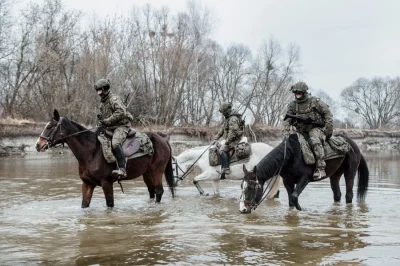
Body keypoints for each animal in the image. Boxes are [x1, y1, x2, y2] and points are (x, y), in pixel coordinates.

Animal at [35, 109, 175, 208]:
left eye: (49, 127)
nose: (38, 145)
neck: (91, 152)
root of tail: (163, 140)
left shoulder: (106, 183)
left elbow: (110, 204)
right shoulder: (87, 184)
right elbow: (84, 205)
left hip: (157, 171)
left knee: (159, 191)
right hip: (147, 173)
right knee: (152, 192)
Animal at [239, 134, 370, 213]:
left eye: (251, 187)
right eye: (242, 186)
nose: (243, 209)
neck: (290, 155)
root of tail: (353, 144)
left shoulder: (305, 178)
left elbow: (294, 197)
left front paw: (301, 210)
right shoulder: (288, 182)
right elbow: (290, 201)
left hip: (350, 173)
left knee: (349, 195)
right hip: (335, 175)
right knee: (337, 194)